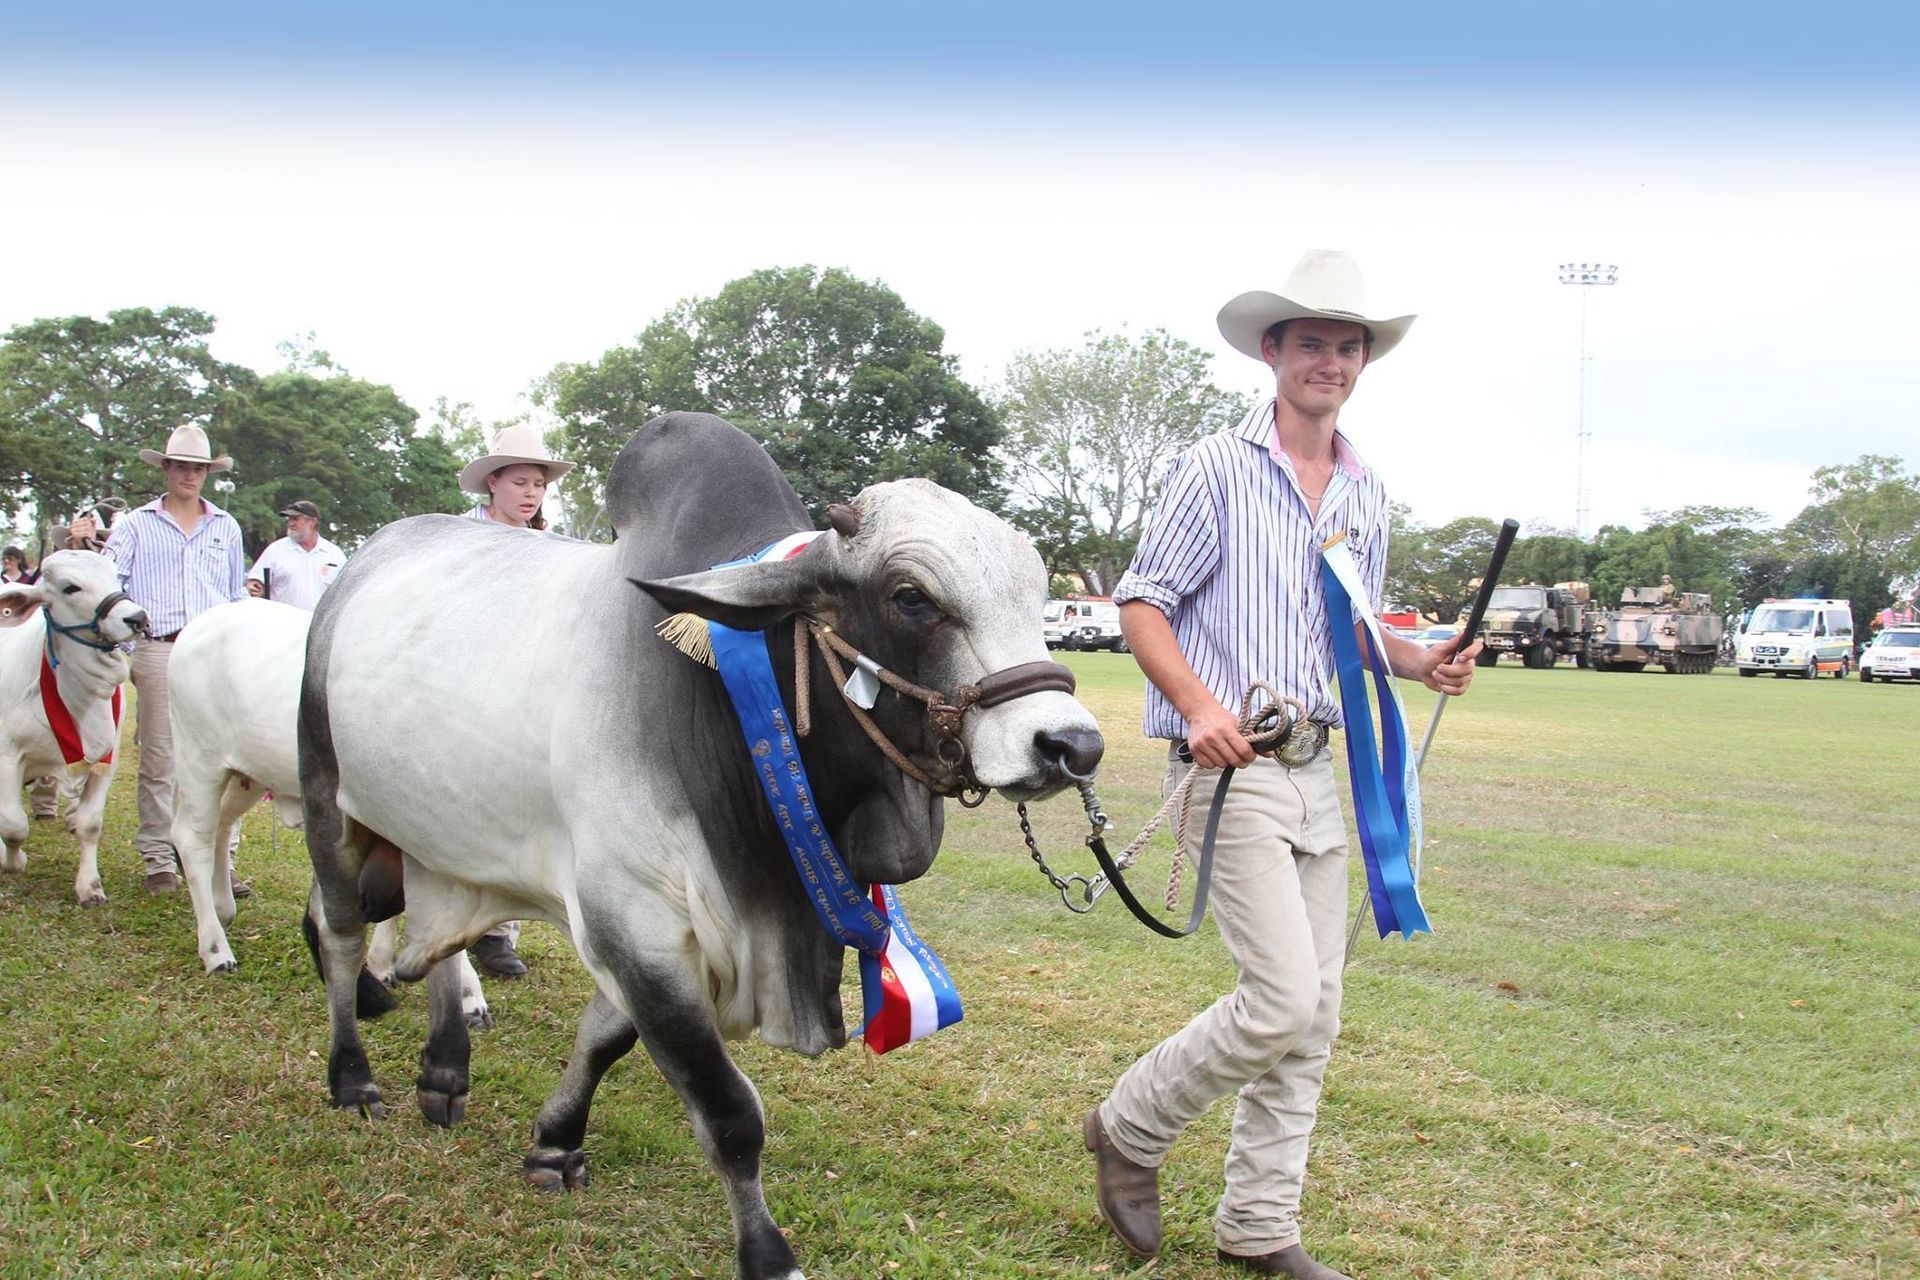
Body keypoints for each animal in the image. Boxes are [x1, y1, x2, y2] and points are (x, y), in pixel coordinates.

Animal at [0, 550, 148, 905]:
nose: (136, 618)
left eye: (116, 577)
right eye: (71, 587)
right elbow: (13, 825)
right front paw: (14, 861)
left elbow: (90, 824)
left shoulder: (106, 758)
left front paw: (89, 886)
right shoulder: (6, 757)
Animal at [167, 599, 490, 1027]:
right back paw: (216, 950)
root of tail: (203, 622)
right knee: (193, 841)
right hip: (197, 758)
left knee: (220, 827)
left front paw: (382, 964)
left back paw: (223, 909)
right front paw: (470, 997)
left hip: (243, 773)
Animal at [299, 412, 1104, 1280]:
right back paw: (353, 1078)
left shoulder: (647, 935)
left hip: (437, 837)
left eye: (1037, 592)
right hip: (327, 799)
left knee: (440, 940)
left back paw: (444, 1070)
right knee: (340, 937)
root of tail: (361, 562)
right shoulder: (634, 921)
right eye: (911, 596)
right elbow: (728, 1112)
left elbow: (604, 1038)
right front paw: (768, 1254)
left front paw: (555, 1144)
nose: (1071, 744)